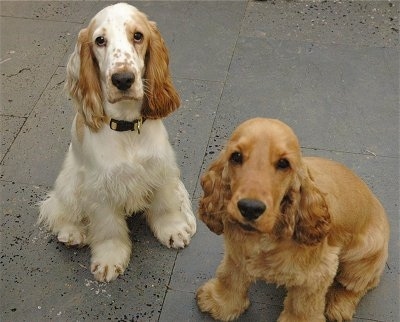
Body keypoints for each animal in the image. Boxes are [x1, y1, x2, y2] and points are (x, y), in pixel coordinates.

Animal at [38, 3, 198, 284]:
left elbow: (166, 204)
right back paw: (72, 233)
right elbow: (108, 229)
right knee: (57, 207)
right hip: (70, 180)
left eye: (138, 36)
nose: (123, 79)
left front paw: (174, 230)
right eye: (100, 40)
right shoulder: (100, 187)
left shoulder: (161, 169)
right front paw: (110, 260)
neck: (127, 127)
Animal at [197, 118, 390, 322]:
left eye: (283, 163)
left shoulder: (317, 273)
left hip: (365, 258)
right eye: (236, 156)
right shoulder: (237, 252)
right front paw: (219, 302)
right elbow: (230, 276)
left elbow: (302, 305)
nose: (250, 208)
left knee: (356, 285)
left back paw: (338, 305)